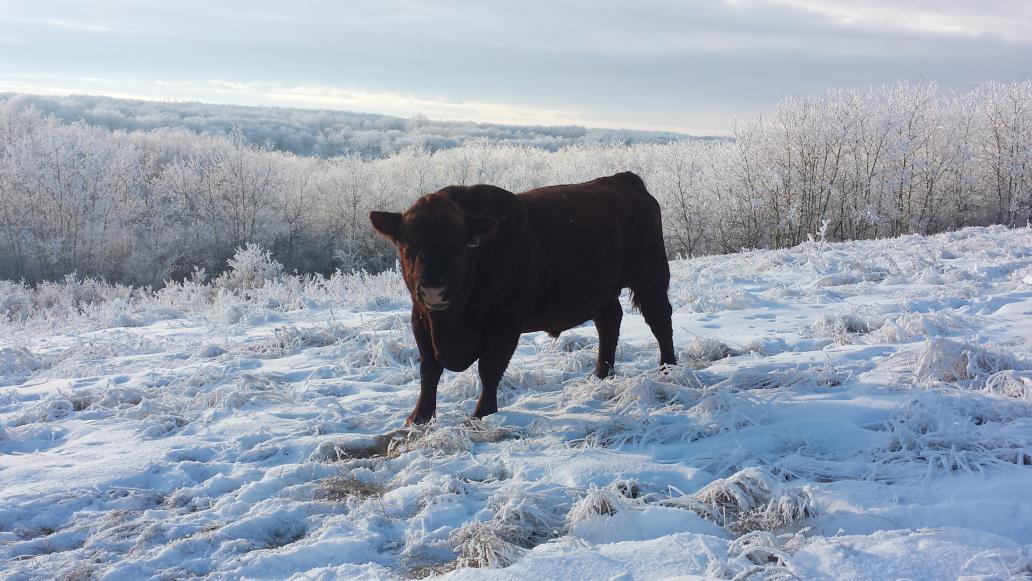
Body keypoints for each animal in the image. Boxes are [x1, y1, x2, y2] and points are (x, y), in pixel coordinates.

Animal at [369, 171, 677, 425]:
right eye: (407, 246)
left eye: (456, 245)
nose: (433, 288)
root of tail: (624, 180)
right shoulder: (420, 318)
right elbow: (429, 370)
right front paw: (419, 417)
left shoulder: (505, 325)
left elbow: (489, 369)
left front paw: (482, 413)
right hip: (603, 289)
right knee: (610, 321)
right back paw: (601, 373)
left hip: (651, 277)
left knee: (660, 321)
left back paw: (668, 369)